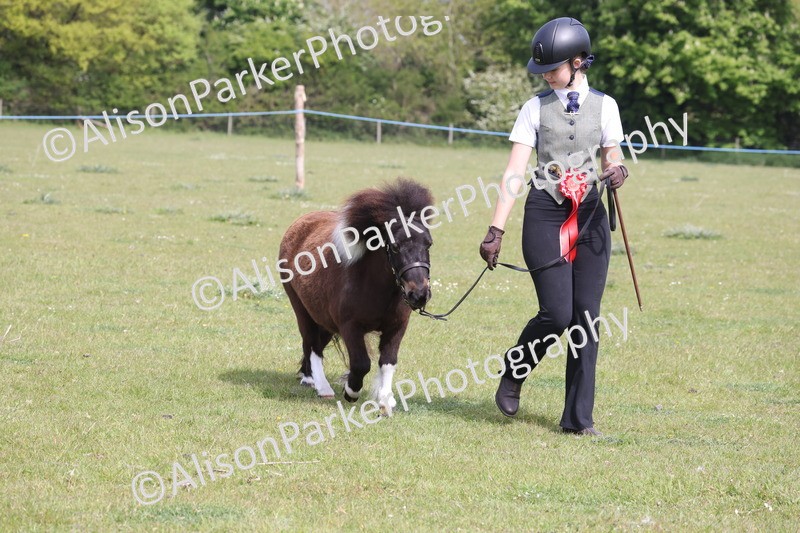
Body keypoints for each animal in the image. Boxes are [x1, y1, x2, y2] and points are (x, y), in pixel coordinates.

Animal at [279, 178, 434, 415]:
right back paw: (322, 387)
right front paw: (351, 390)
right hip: (302, 310)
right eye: (395, 245)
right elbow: (361, 363)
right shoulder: (350, 326)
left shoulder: (397, 326)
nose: (419, 294)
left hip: (322, 317)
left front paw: (385, 400)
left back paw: (309, 378)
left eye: (428, 243)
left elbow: (388, 361)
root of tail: (299, 224)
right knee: (311, 344)